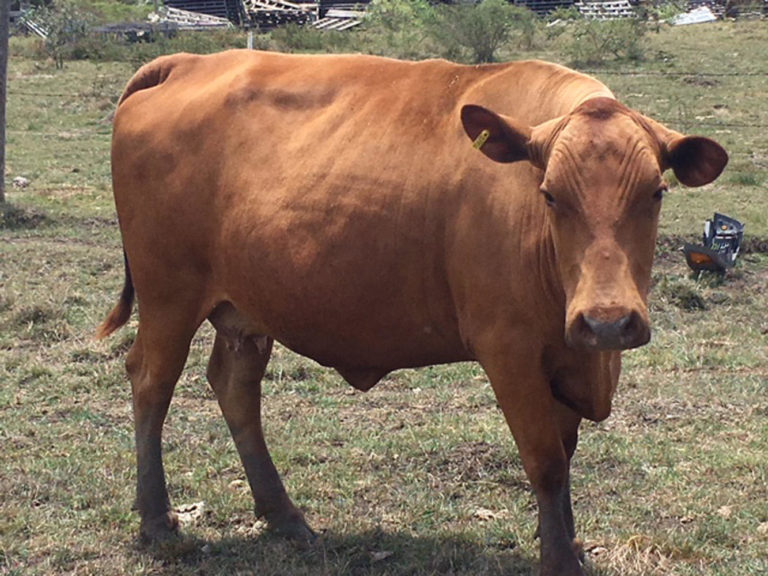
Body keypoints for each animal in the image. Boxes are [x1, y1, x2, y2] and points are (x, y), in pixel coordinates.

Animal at [99, 50, 727, 575]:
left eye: (655, 192)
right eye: (550, 195)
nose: (607, 321)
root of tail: (190, 61)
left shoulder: (567, 355)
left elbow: (565, 455)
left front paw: (566, 543)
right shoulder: (509, 349)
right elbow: (545, 459)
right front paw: (560, 562)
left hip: (246, 310)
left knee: (235, 389)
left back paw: (284, 517)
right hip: (169, 295)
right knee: (151, 381)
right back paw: (157, 522)